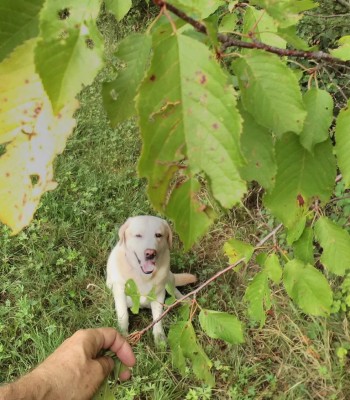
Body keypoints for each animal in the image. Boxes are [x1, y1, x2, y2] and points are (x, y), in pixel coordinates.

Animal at [106, 216, 197, 344]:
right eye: (138, 235)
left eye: (158, 235)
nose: (150, 253)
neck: (142, 276)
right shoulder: (120, 292)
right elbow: (123, 316)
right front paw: (122, 335)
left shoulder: (159, 294)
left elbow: (158, 317)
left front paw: (159, 338)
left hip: (168, 277)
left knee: (174, 290)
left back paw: (185, 300)